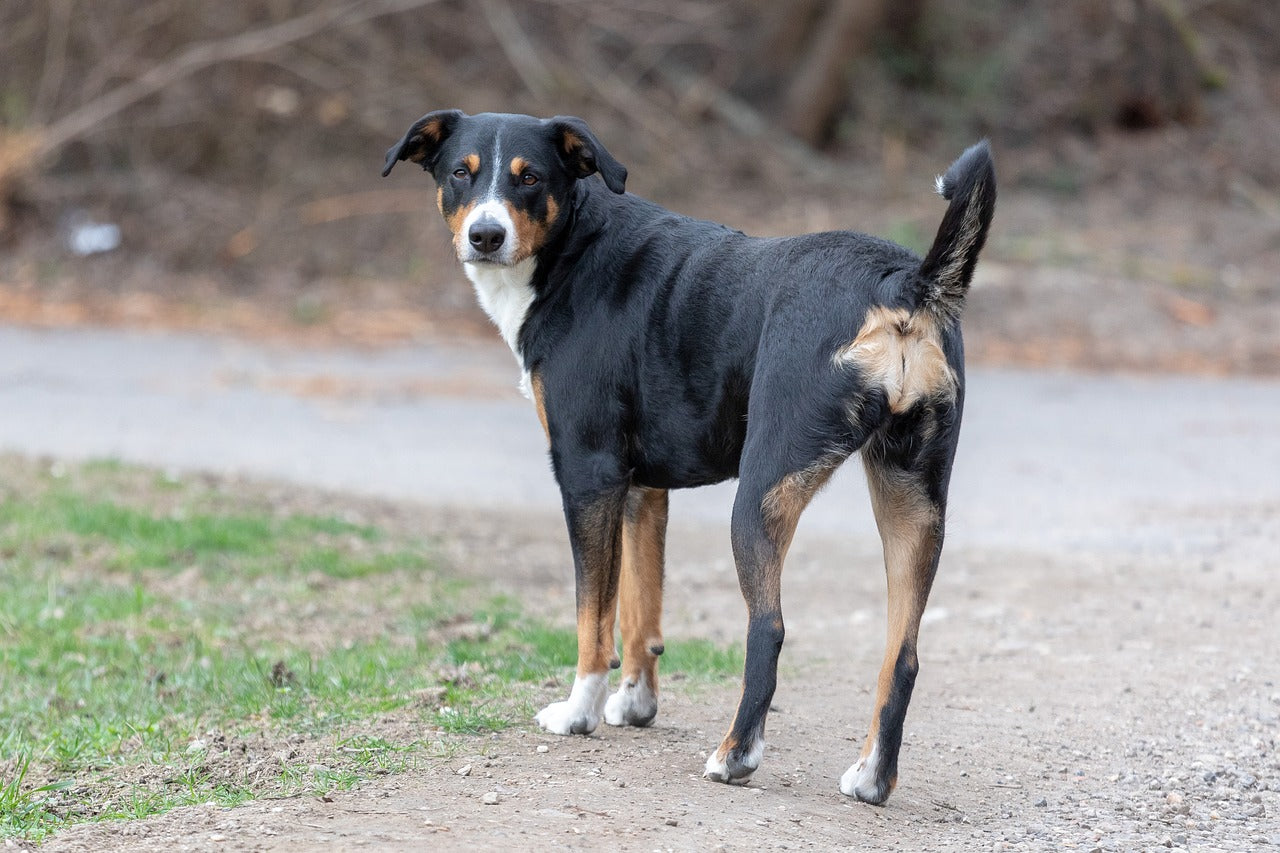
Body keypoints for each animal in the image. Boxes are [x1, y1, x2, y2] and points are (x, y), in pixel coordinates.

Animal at [384, 112, 993, 804]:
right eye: (461, 173)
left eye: (530, 177)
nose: (486, 235)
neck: (575, 250)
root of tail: (904, 283)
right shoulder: (639, 489)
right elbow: (638, 609)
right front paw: (635, 703)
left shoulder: (588, 475)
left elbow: (593, 618)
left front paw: (579, 712)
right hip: (912, 504)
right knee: (904, 655)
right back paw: (871, 778)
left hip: (760, 497)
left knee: (768, 630)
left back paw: (735, 755)